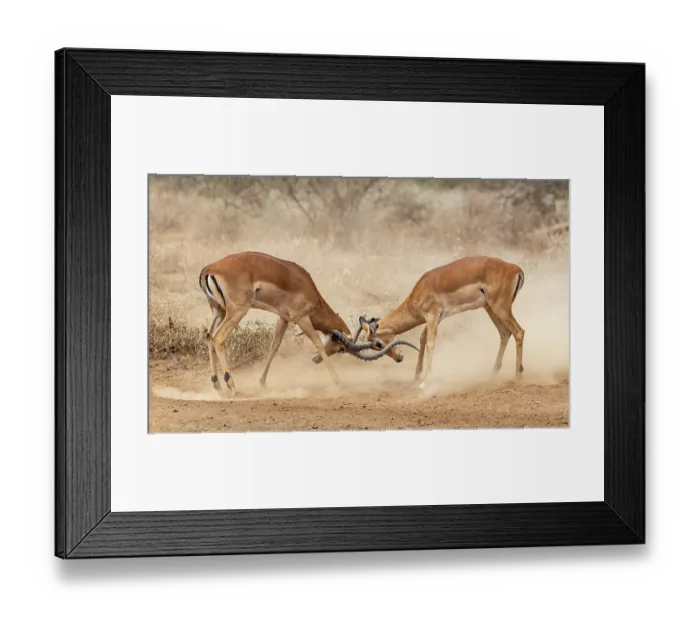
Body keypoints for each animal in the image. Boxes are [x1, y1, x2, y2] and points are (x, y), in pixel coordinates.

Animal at [199, 251, 416, 395]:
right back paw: (232, 386)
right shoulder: (302, 318)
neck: (309, 288)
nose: (400, 358)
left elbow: (274, 345)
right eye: (341, 349)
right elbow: (317, 343)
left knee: (209, 336)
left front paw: (262, 382)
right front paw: (338, 381)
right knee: (218, 338)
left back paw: (216, 384)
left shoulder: (284, 317)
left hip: (218, 310)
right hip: (237, 311)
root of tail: (209, 269)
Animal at [359, 256, 526, 387]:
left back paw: (517, 377)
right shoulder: (436, 318)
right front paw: (416, 377)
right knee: (505, 333)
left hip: (500, 308)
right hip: (490, 307)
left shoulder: (432, 315)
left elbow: (430, 343)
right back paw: (493, 375)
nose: (398, 359)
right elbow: (422, 338)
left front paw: (426, 380)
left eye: (378, 344)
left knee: (519, 332)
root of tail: (514, 268)